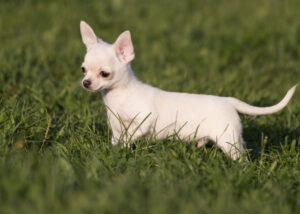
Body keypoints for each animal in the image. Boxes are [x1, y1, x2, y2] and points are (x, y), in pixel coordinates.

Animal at [79, 20, 296, 160]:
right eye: (83, 69)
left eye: (104, 74)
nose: (86, 83)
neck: (119, 96)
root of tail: (228, 100)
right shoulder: (116, 126)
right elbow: (118, 139)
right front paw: (116, 152)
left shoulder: (143, 119)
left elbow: (130, 134)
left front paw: (123, 148)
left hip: (228, 140)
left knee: (241, 157)